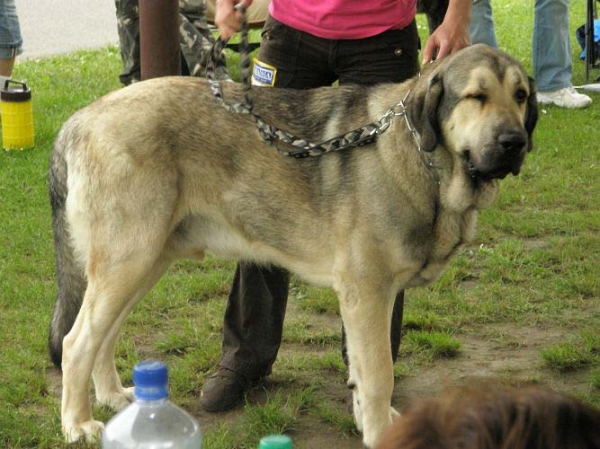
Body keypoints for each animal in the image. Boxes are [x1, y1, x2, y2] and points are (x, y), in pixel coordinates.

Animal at [48, 44, 540, 444]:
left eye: (520, 96)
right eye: (476, 96)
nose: (515, 142)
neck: (422, 158)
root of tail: (79, 120)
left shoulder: (369, 301)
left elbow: (362, 372)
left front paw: (371, 420)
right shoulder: (367, 293)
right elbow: (379, 374)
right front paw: (379, 434)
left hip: (141, 264)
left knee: (103, 337)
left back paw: (113, 397)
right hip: (129, 260)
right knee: (77, 342)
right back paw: (77, 424)